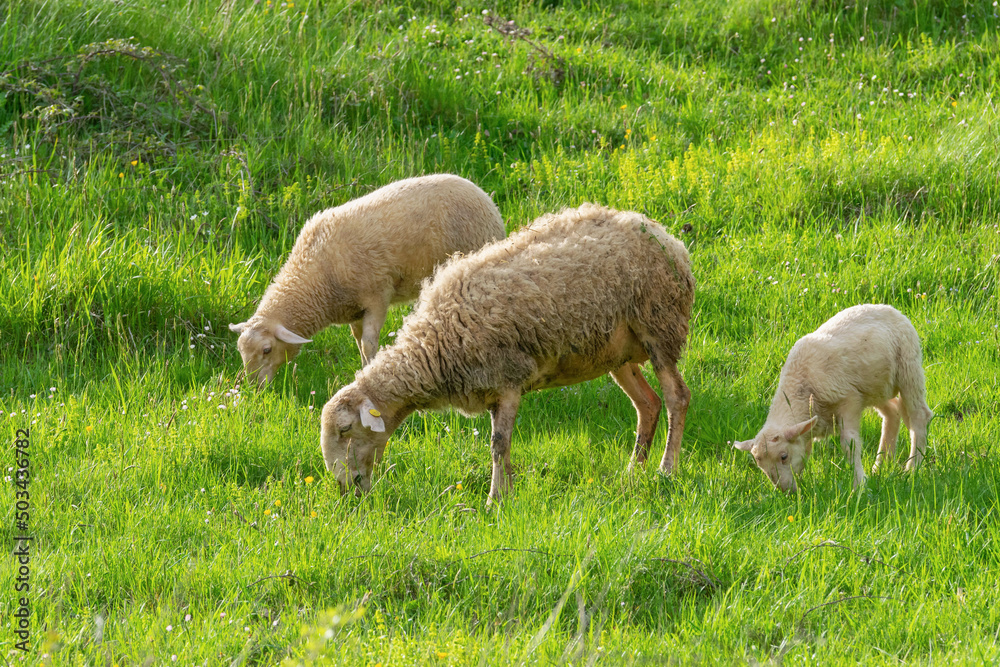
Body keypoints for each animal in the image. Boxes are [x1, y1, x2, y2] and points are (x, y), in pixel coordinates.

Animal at [229, 174, 505, 385]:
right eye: (240, 351)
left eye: (267, 350)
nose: (252, 387)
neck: (316, 278)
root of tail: (485, 197)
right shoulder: (353, 309)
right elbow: (358, 341)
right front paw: (361, 369)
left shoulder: (377, 297)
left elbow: (369, 343)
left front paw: (369, 373)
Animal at [320, 203, 696, 503]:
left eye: (344, 430)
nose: (346, 490)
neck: (433, 347)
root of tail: (665, 236)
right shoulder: (490, 389)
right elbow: (503, 446)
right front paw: (508, 494)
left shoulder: (509, 380)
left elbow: (498, 444)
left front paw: (495, 500)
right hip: (617, 351)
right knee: (648, 404)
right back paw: (634, 471)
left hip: (659, 325)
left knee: (677, 397)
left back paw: (666, 470)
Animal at [733, 304, 932, 492]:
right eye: (759, 464)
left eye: (784, 456)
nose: (785, 491)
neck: (800, 385)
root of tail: (887, 307)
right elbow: (808, 451)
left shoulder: (849, 400)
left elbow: (850, 443)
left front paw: (859, 485)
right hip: (876, 387)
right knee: (893, 412)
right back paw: (881, 466)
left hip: (908, 366)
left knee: (920, 415)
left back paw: (912, 467)